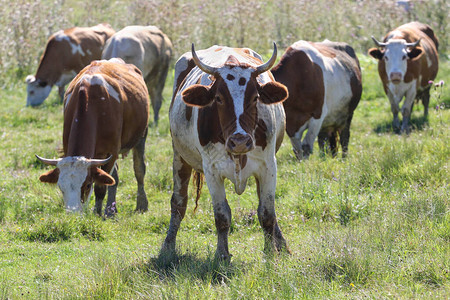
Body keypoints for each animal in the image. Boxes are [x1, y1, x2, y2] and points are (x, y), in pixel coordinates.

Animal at [35, 58, 150, 216]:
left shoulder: (111, 153)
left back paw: (141, 204)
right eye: (60, 187)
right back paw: (111, 209)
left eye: (88, 184)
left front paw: (97, 213)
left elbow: (101, 187)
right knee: (114, 178)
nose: (73, 214)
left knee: (139, 170)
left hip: (141, 136)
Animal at [160, 43, 290, 262]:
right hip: (179, 157)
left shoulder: (268, 167)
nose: (239, 141)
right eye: (219, 98)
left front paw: (271, 251)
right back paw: (168, 246)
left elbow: (267, 212)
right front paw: (222, 254)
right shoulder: (212, 171)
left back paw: (281, 243)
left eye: (255, 97)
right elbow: (221, 216)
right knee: (178, 203)